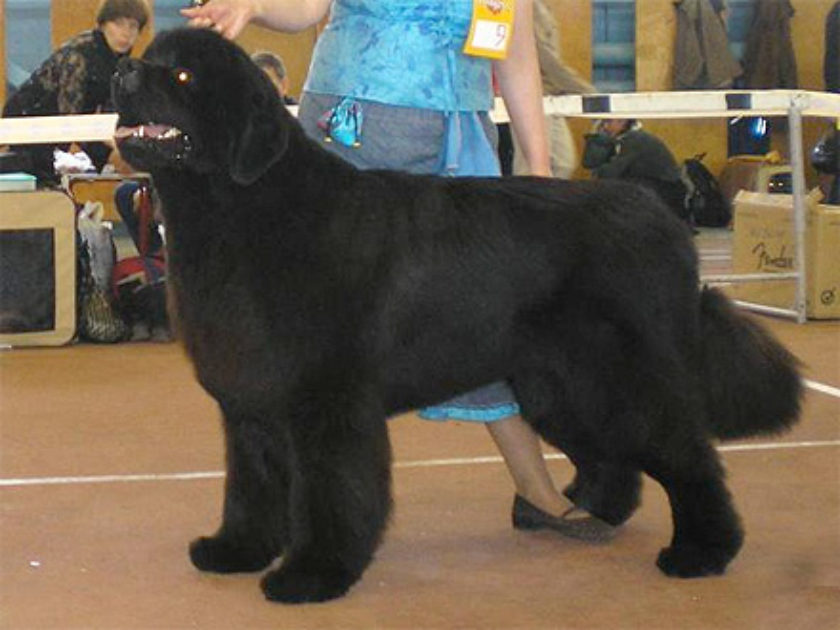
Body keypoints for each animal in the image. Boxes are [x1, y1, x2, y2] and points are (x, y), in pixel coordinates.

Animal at [111, 30, 800, 608]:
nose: (123, 72)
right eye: (148, 56)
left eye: (181, 74)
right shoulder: (250, 400)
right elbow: (251, 487)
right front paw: (236, 550)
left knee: (689, 456)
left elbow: (330, 492)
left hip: (618, 377)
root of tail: (668, 225)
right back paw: (588, 509)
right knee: (614, 457)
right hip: (559, 383)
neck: (241, 209)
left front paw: (312, 574)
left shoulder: (328, 402)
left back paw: (701, 552)